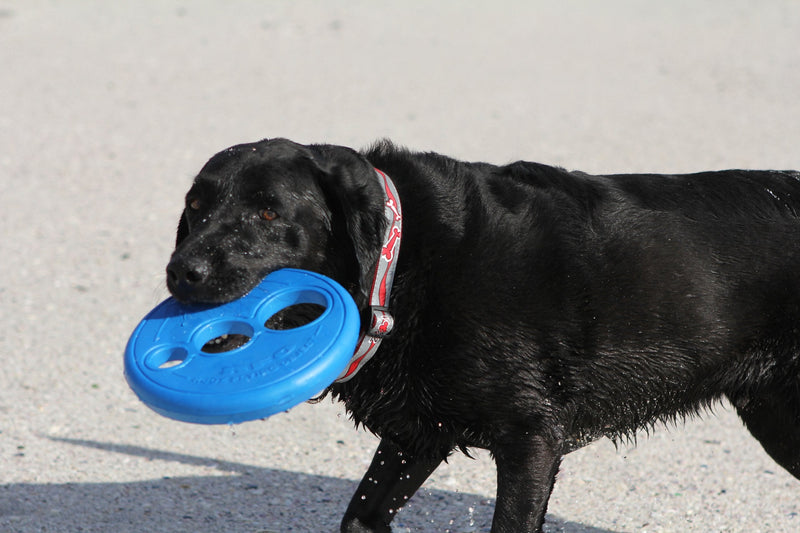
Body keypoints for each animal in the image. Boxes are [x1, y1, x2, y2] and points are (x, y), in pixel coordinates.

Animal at [166, 138, 796, 532]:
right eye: (195, 207)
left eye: (269, 214)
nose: (180, 272)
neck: (404, 260)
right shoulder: (417, 433)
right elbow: (361, 514)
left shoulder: (531, 439)